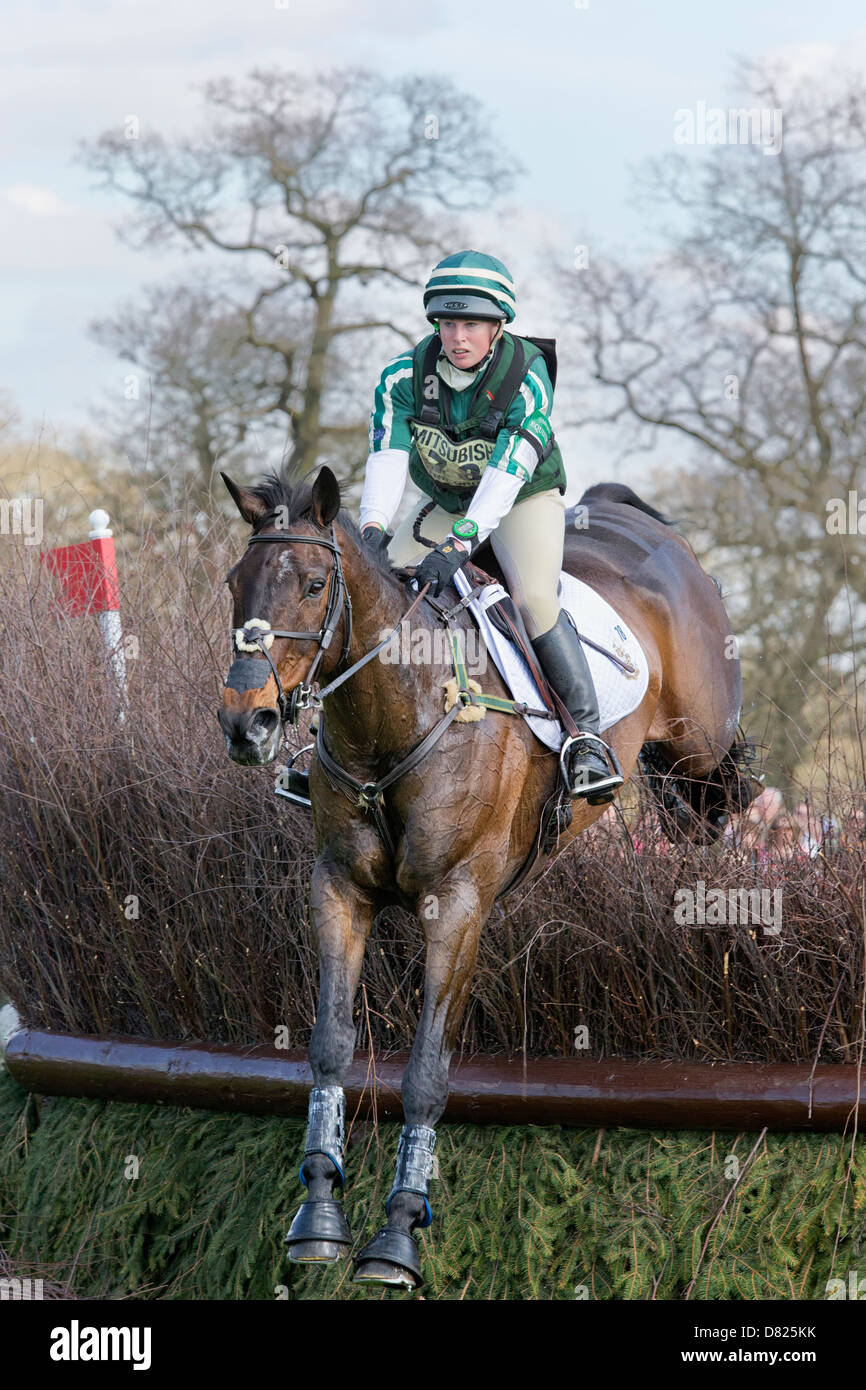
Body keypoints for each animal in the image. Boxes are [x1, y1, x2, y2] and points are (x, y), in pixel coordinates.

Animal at [217, 464, 755, 1290]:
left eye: (312, 584)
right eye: (233, 584)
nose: (247, 724)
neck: (395, 711)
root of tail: (634, 519)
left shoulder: (458, 905)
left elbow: (426, 1074)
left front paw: (398, 1236)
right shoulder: (339, 890)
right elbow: (330, 1044)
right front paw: (318, 1214)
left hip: (700, 739)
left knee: (722, 792)